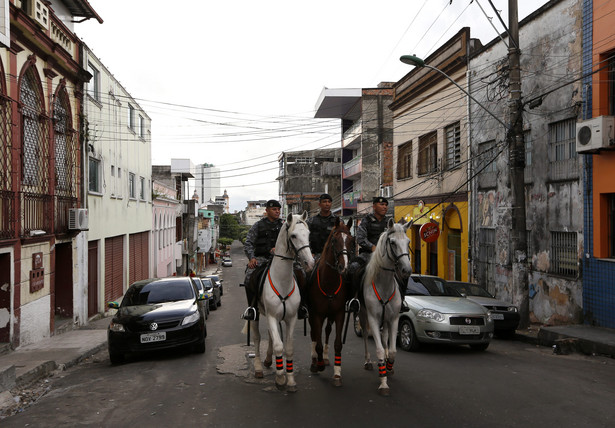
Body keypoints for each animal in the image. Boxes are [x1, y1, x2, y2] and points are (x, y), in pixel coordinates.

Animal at [249, 211, 312, 392]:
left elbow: (288, 348)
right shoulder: (271, 316)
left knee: (271, 335)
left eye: (308, 234)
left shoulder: (291, 318)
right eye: (294, 235)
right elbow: (278, 345)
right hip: (255, 314)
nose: (310, 263)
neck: (283, 281)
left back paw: (268, 360)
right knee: (257, 338)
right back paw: (258, 368)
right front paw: (280, 378)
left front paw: (290, 379)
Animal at [306, 216, 354, 386]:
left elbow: (337, 344)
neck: (329, 281)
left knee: (326, 331)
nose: (344, 267)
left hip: (330, 314)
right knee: (314, 333)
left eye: (352, 241)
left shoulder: (339, 313)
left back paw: (325, 358)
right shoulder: (317, 314)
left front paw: (337, 374)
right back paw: (315, 361)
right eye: (334, 240)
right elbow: (318, 342)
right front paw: (318, 364)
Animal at [358, 219, 412, 396]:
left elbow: (393, 350)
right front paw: (383, 383)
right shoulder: (373, 319)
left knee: (385, 336)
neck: (384, 284)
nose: (406, 270)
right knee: (366, 336)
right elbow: (380, 350)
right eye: (393, 243)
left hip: (386, 320)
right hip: (362, 315)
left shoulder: (394, 318)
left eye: (408, 242)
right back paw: (368, 361)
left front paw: (389, 367)